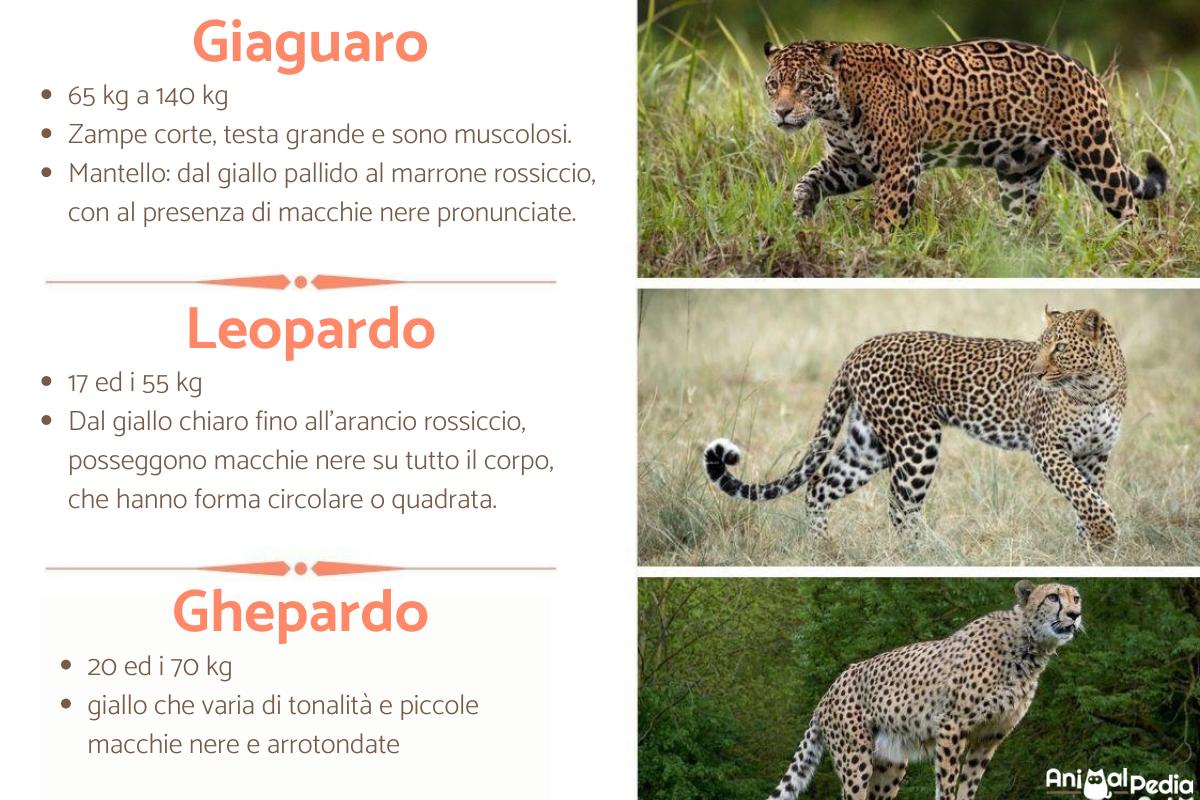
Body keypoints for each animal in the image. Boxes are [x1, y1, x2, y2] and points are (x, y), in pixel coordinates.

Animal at [703, 307, 1126, 544]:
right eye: (1040, 346)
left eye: (1060, 348)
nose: (1036, 374)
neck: (1094, 388)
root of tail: (857, 351)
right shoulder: (1049, 448)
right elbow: (1085, 497)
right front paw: (1107, 536)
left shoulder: (1097, 454)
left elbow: (1088, 498)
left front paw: (1091, 549)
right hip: (916, 440)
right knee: (900, 505)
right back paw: (925, 553)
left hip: (868, 444)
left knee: (820, 485)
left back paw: (822, 550)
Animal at [762, 38, 1168, 232]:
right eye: (772, 85)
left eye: (804, 85)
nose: (781, 111)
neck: (837, 109)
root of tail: (1090, 74)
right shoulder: (850, 162)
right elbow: (810, 179)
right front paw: (802, 211)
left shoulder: (899, 165)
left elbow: (888, 215)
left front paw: (881, 247)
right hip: (1019, 170)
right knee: (1020, 220)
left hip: (1094, 153)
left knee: (1128, 207)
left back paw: (1132, 249)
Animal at [765, 580, 1082, 800]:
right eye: (1053, 596)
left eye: (1076, 598)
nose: (1075, 614)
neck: (1028, 646)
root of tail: (829, 691)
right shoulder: (952, 725)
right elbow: (948, 782)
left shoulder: (989, 737)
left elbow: (969, 784)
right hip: (855, 757)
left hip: (889, 763)